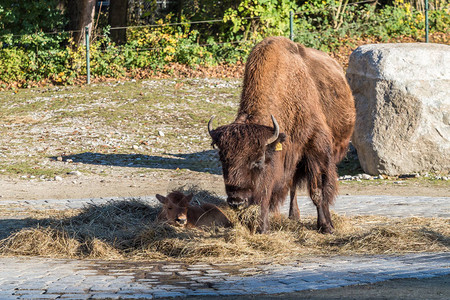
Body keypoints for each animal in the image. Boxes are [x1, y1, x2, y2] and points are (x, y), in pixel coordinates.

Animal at [207, 36, 356, 233]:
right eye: (223, 159)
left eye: (258, 160)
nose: (236, 201)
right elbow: (269, 195)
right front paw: (262, 227)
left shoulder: (316, 151)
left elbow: (318, 191)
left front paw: (326, 226)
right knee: (292, 187)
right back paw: (294, 216)